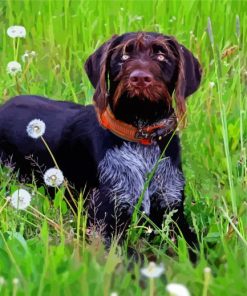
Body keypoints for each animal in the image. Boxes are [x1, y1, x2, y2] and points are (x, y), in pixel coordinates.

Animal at [0, 33, 201, 256]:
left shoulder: (173, 212)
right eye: (123, 56)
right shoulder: (103, 225)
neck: (140, 138)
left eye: (161, 55)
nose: (140, 79)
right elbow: (132, 257)